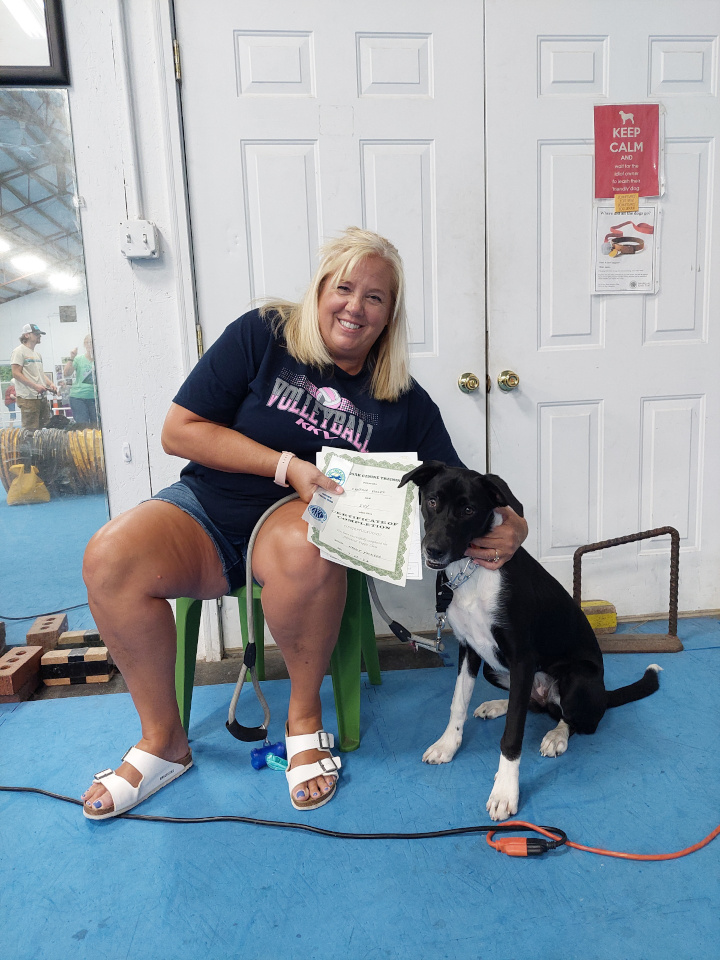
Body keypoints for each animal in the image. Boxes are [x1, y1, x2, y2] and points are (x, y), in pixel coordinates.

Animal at [396, 462, 660, 820]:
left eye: (468, 509)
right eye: (433, 501)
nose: (432, 549)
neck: (472, 571)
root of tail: (603, 694)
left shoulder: (522, 658)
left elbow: (512, 735)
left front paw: (505, 791)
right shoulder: (469, 650)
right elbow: (457, 704)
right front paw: (448, 745)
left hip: (577, 678)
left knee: (575, 720)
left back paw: (557, 736)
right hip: (496, 670)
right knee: (530, 706)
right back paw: (498, 705)